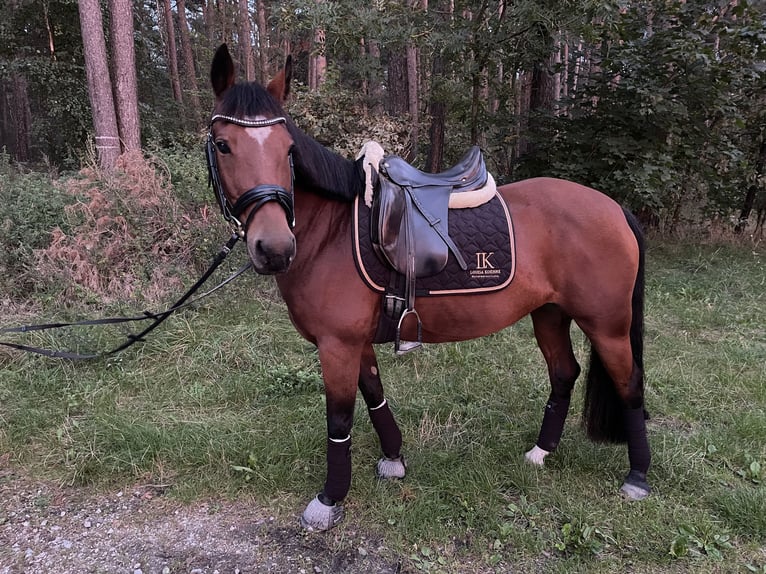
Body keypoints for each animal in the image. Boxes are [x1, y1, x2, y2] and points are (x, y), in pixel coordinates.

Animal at [207, 44, 652, 532]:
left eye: (289, 149)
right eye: (223, 144)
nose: (273, 248)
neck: (332, 232)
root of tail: (614, 208)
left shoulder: (336, 344)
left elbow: (339, 418)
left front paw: (330, 498)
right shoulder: (355, 341)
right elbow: (375, 394)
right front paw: (393, 460)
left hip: (607, 324)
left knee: (629, 383)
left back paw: (637, 477)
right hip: (550, 314)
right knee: (564, 373)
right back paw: (540, 453)